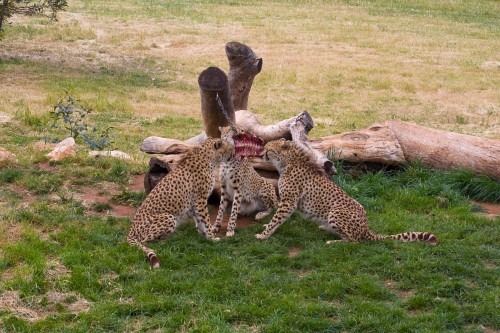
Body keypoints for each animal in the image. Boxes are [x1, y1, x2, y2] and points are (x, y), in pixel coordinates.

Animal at [127, 137, 232, 268]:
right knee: (146, 241)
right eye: (229, 148)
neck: (209, 158)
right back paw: (169, 240)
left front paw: (203, 234)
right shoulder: (200, 198)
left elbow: (199, 219)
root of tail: (131, 230)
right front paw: (211, 237)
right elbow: (206, 220)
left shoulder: (194, 202)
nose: (233, 154)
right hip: (168, 217)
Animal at [256, 138, 436, 244]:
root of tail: (366, 228)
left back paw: (334, 241)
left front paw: (264, 234)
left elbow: (277, 218)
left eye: (268, 148)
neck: (287, 162)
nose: (260, 153)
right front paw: (266, 228)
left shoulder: (288, 201)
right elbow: (278, 218)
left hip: (335, 211)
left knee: (354, 240)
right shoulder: (288, 201)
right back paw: (326, 229)